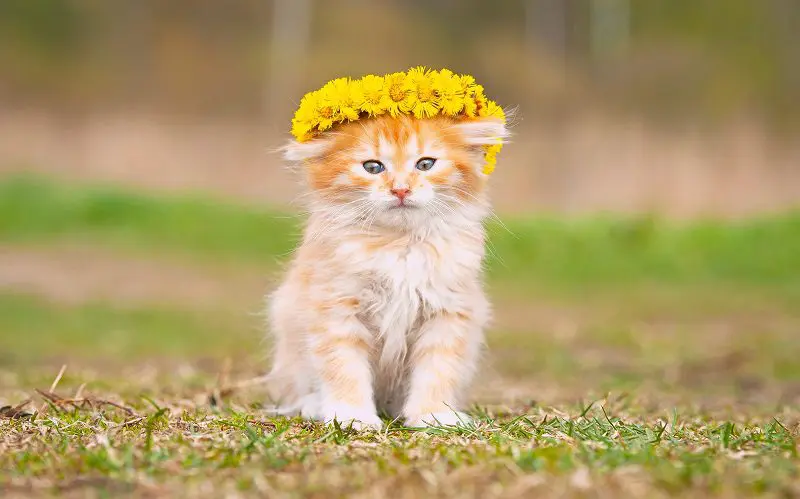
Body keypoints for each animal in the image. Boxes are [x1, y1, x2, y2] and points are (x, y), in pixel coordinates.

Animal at [266, 113, 510, 430]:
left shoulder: (448, 312)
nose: (401, 189)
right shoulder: (336, 309)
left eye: (425, 164)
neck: (399, 244)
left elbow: (437, 371)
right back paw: (314, 406)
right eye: (373, 167)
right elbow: (343, 368)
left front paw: (434, 415)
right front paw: (352, 416)